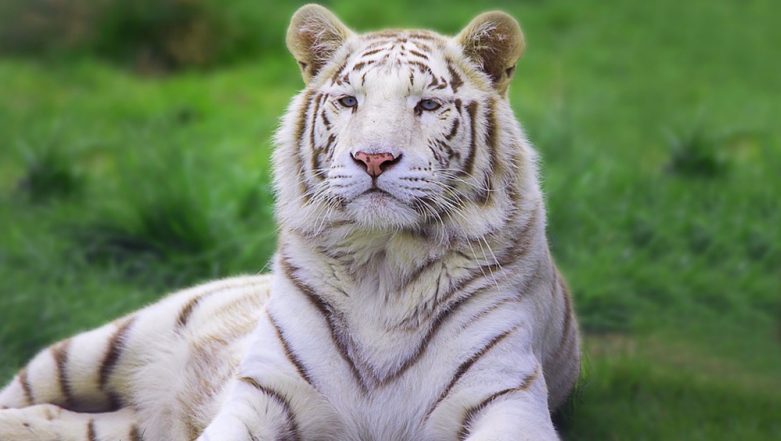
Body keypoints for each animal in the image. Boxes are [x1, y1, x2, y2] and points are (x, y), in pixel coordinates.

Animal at [0, 4, 580, 440]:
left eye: (428, 105)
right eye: (348, 101)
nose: (373, 158)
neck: (384, 264)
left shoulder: (503, 396)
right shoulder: (267, 393)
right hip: (97, 347)